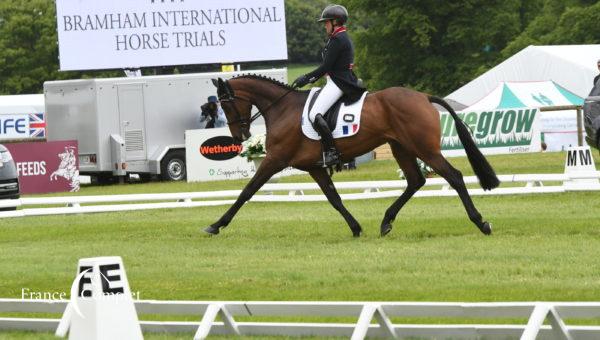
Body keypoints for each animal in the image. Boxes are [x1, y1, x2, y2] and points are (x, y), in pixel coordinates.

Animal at [204, 75, 500, 238]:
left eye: (226, 105)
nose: (239, 136)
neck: (283, 108)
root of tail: (424, 97)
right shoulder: (315, 167)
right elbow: (334, 198)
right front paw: (356, 228)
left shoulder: (274, 160)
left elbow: (247, 191)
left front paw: (216, 225)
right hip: (401, 147)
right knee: (415, 181)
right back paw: (386, 222)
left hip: (423, 148)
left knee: (454, 176)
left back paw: (481, 222)